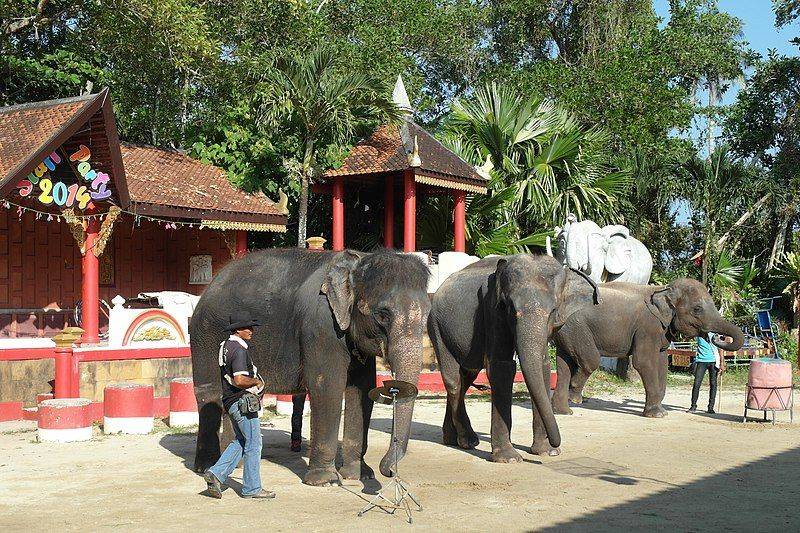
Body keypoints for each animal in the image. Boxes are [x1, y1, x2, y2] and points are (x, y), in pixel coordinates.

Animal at [189, 247, 432, 484]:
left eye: (428, 314)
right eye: (383, 314)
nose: (389, 471)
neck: (359, 260)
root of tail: (212, 283)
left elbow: (362, 389)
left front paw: (359, 475)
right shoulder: (322, 325)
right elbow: (328, 387)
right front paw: (326, 481)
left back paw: (234, 465)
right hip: (205, 334)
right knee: (210, 393)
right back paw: (206, 467)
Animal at [428, 254, 596, 462]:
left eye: (553, 310)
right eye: (509, 308)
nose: (556, 444)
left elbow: (543, 366)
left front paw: (546, 451)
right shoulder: (492, 310)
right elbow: (502, 366)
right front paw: (509, 459)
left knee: (466, 376)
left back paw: (453, 440)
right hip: (437, 328)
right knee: (454, 381)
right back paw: (468, 441)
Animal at [552, 276, 744, 418]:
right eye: (697, 309)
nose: (717, 337)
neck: (663, 289)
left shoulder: (661, 330)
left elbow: (662, 363)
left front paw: (661, 411)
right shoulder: (647, 326)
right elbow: (644, 362)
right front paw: (658, 415)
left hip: (566, 330)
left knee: (563, 364)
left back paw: (563, 411)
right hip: (576, 327)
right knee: (591, 360)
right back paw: (575, 398)